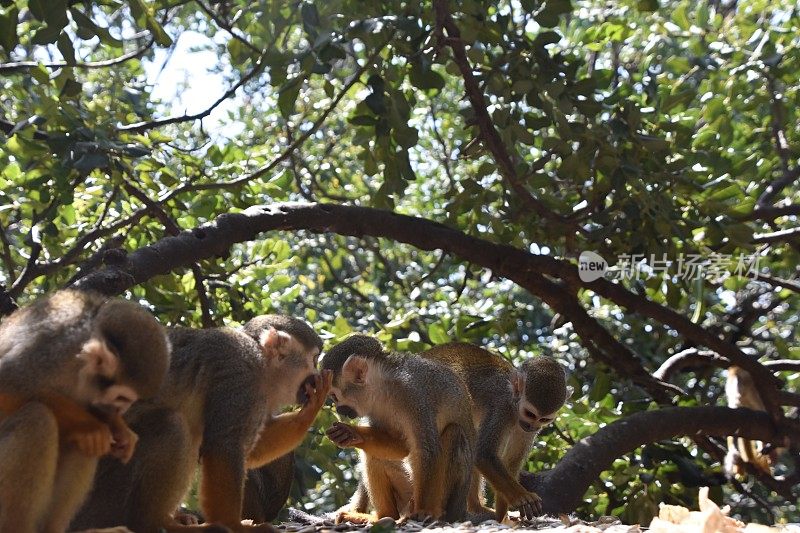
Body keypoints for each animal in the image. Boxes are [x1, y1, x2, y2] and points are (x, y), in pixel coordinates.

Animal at [0, 288, 170, 532]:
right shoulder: (54, 348)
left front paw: (117, 427)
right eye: (122, 398)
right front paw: (89, 424)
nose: (121, 410)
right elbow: (8, 382)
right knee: (37, 418)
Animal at [72, 314, 328, 528]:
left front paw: (310, 409)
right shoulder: (241, 374)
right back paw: (156, 521)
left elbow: (250, 450)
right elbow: (224, 446)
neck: (261, 363)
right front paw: (232, 525)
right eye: (314, 359)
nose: (316, 374)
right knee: (173, 425)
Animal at [320, 334, 476, 520]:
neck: (384, 387)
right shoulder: (374, 408)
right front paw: (352, 433)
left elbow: (425, 450)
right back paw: (384, 516)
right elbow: (401, 446)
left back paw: (433, 511)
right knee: (374, 454)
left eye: (334, 396)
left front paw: (423, 510)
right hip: (406, 492)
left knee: (454, 433)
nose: (338, 409)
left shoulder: (413, 393)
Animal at [424, 340, 568, 520]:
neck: (514, 406)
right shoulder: (501, 407)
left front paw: (503, 512)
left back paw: (476, 507)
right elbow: (483, 454)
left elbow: (511, 462)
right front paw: (522, 497)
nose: (531, 426)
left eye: (544, 419)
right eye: (530, 414)